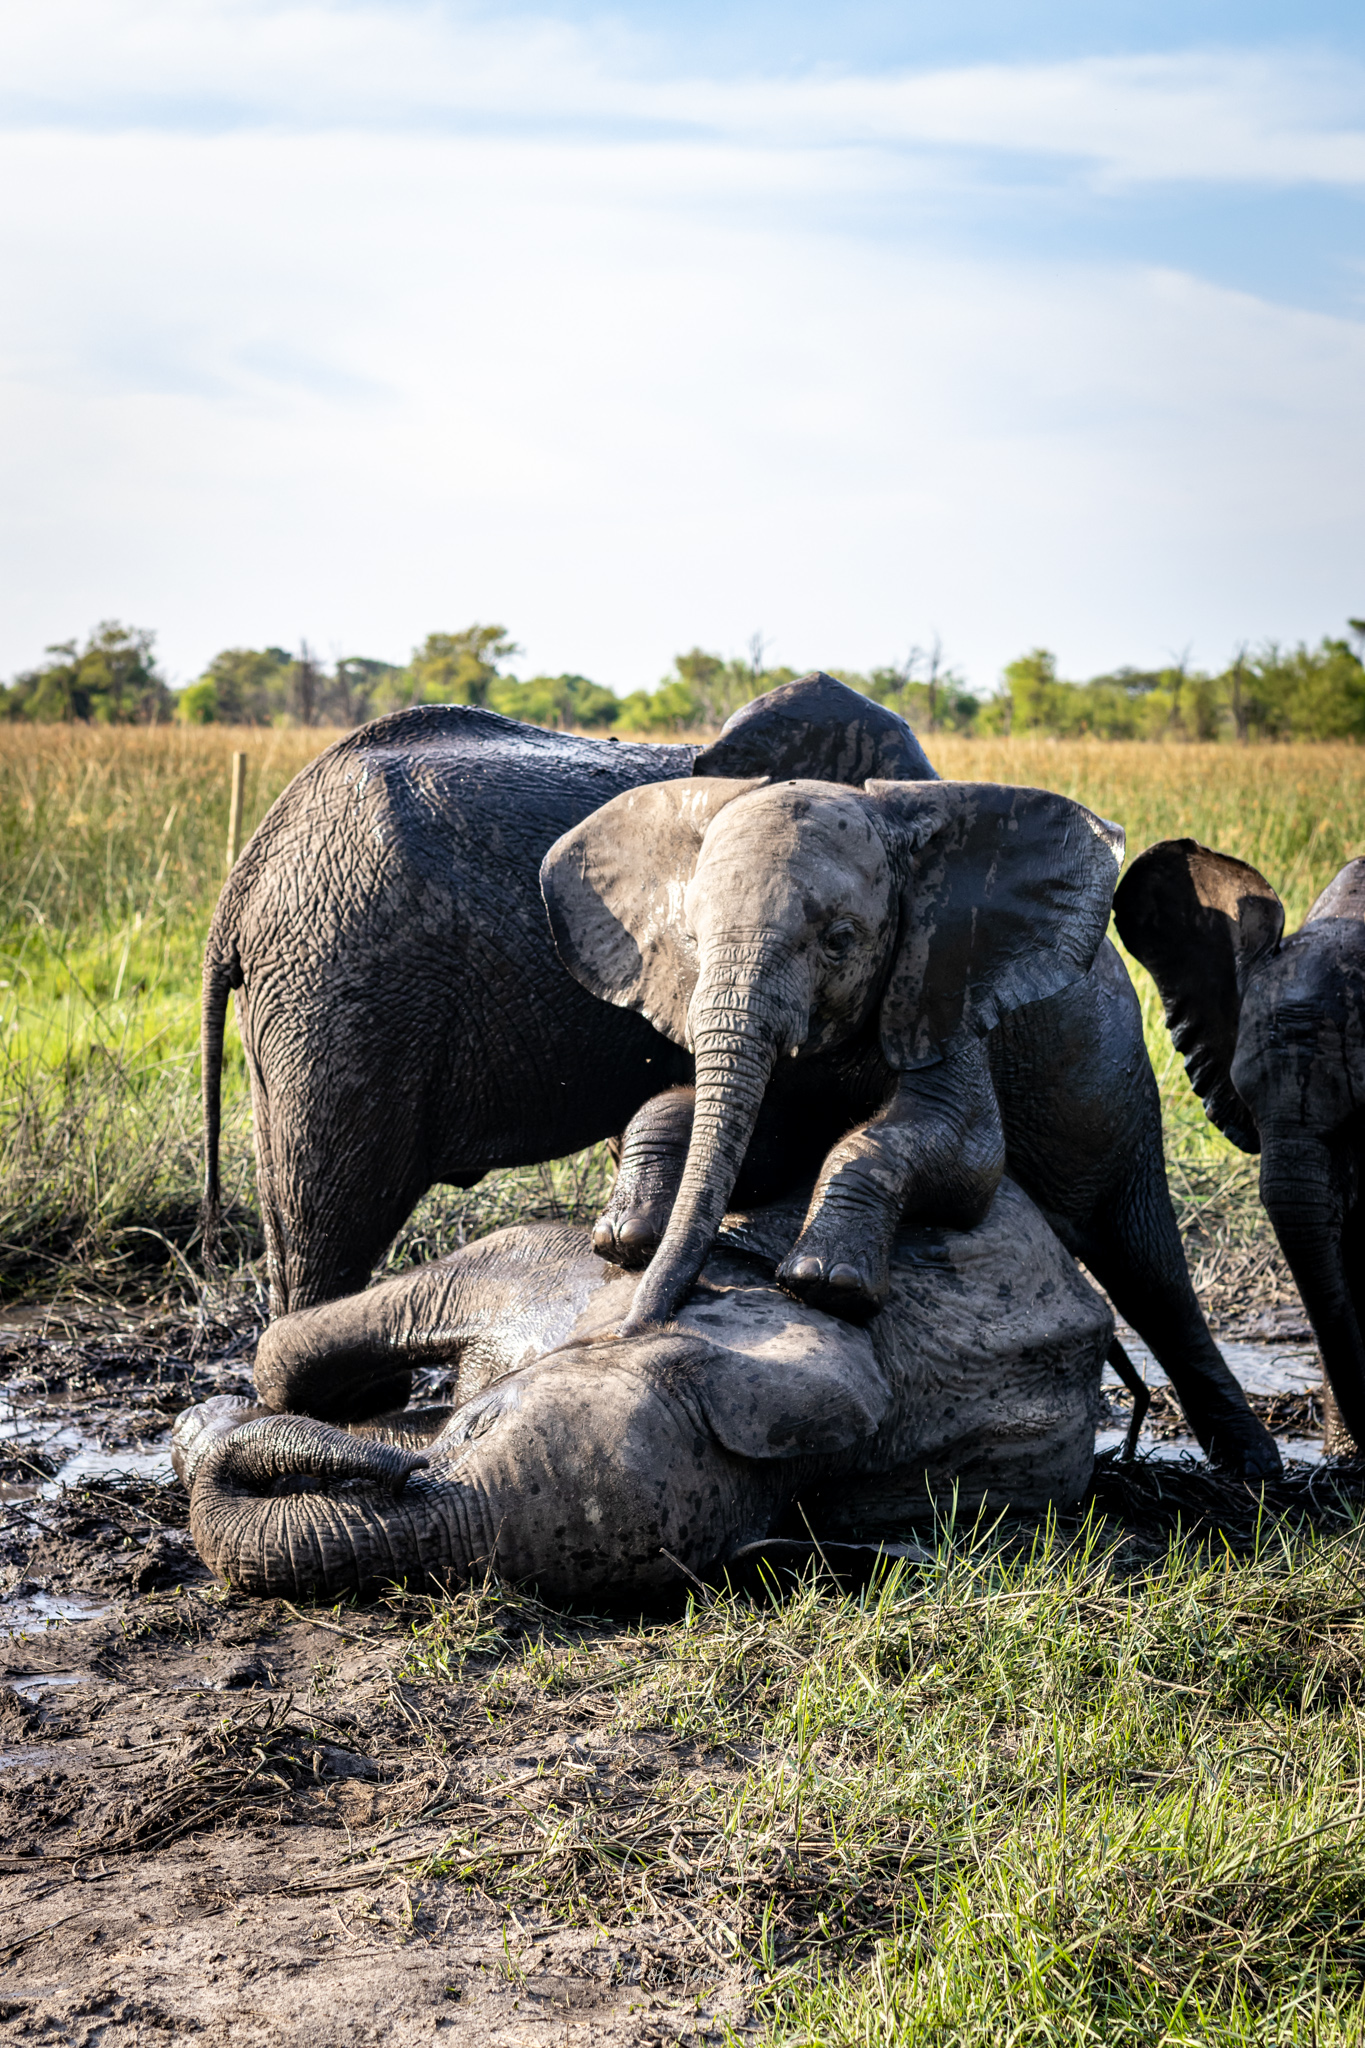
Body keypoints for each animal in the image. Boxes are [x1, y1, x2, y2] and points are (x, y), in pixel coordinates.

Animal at [170, 1179, 1113, 1605]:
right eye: (478, 1427)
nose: (398, 1475)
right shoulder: (566, 1270)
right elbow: (288, 1352)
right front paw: (216, 1423)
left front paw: (214, 1428)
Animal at [540, 770, 1285, 1474]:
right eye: (691, 940)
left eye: (840, 941)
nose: (634, 1328)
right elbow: (738, 1134)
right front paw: (626, 1238)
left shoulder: (944, 984)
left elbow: (963, 1151)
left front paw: (825, 1282)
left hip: (1109, 1072)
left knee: (1145, 1261)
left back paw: (1253, 1465)